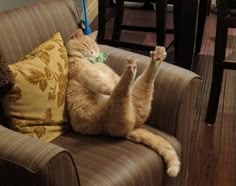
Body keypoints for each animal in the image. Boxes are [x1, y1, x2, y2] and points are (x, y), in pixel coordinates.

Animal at [65, 29, 180, 177]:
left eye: (94, 47)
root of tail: (129, 130)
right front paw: (108, 87)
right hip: (117, 104)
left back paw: (156, 57)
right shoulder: (86, 75)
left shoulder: (111, 75)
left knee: (139, 81)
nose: (92, 52)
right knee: (121, 89)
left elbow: (112, 80)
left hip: (137, 95)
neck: (91, 62)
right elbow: (102, 84)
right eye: (85, 45)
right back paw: (132, 69)